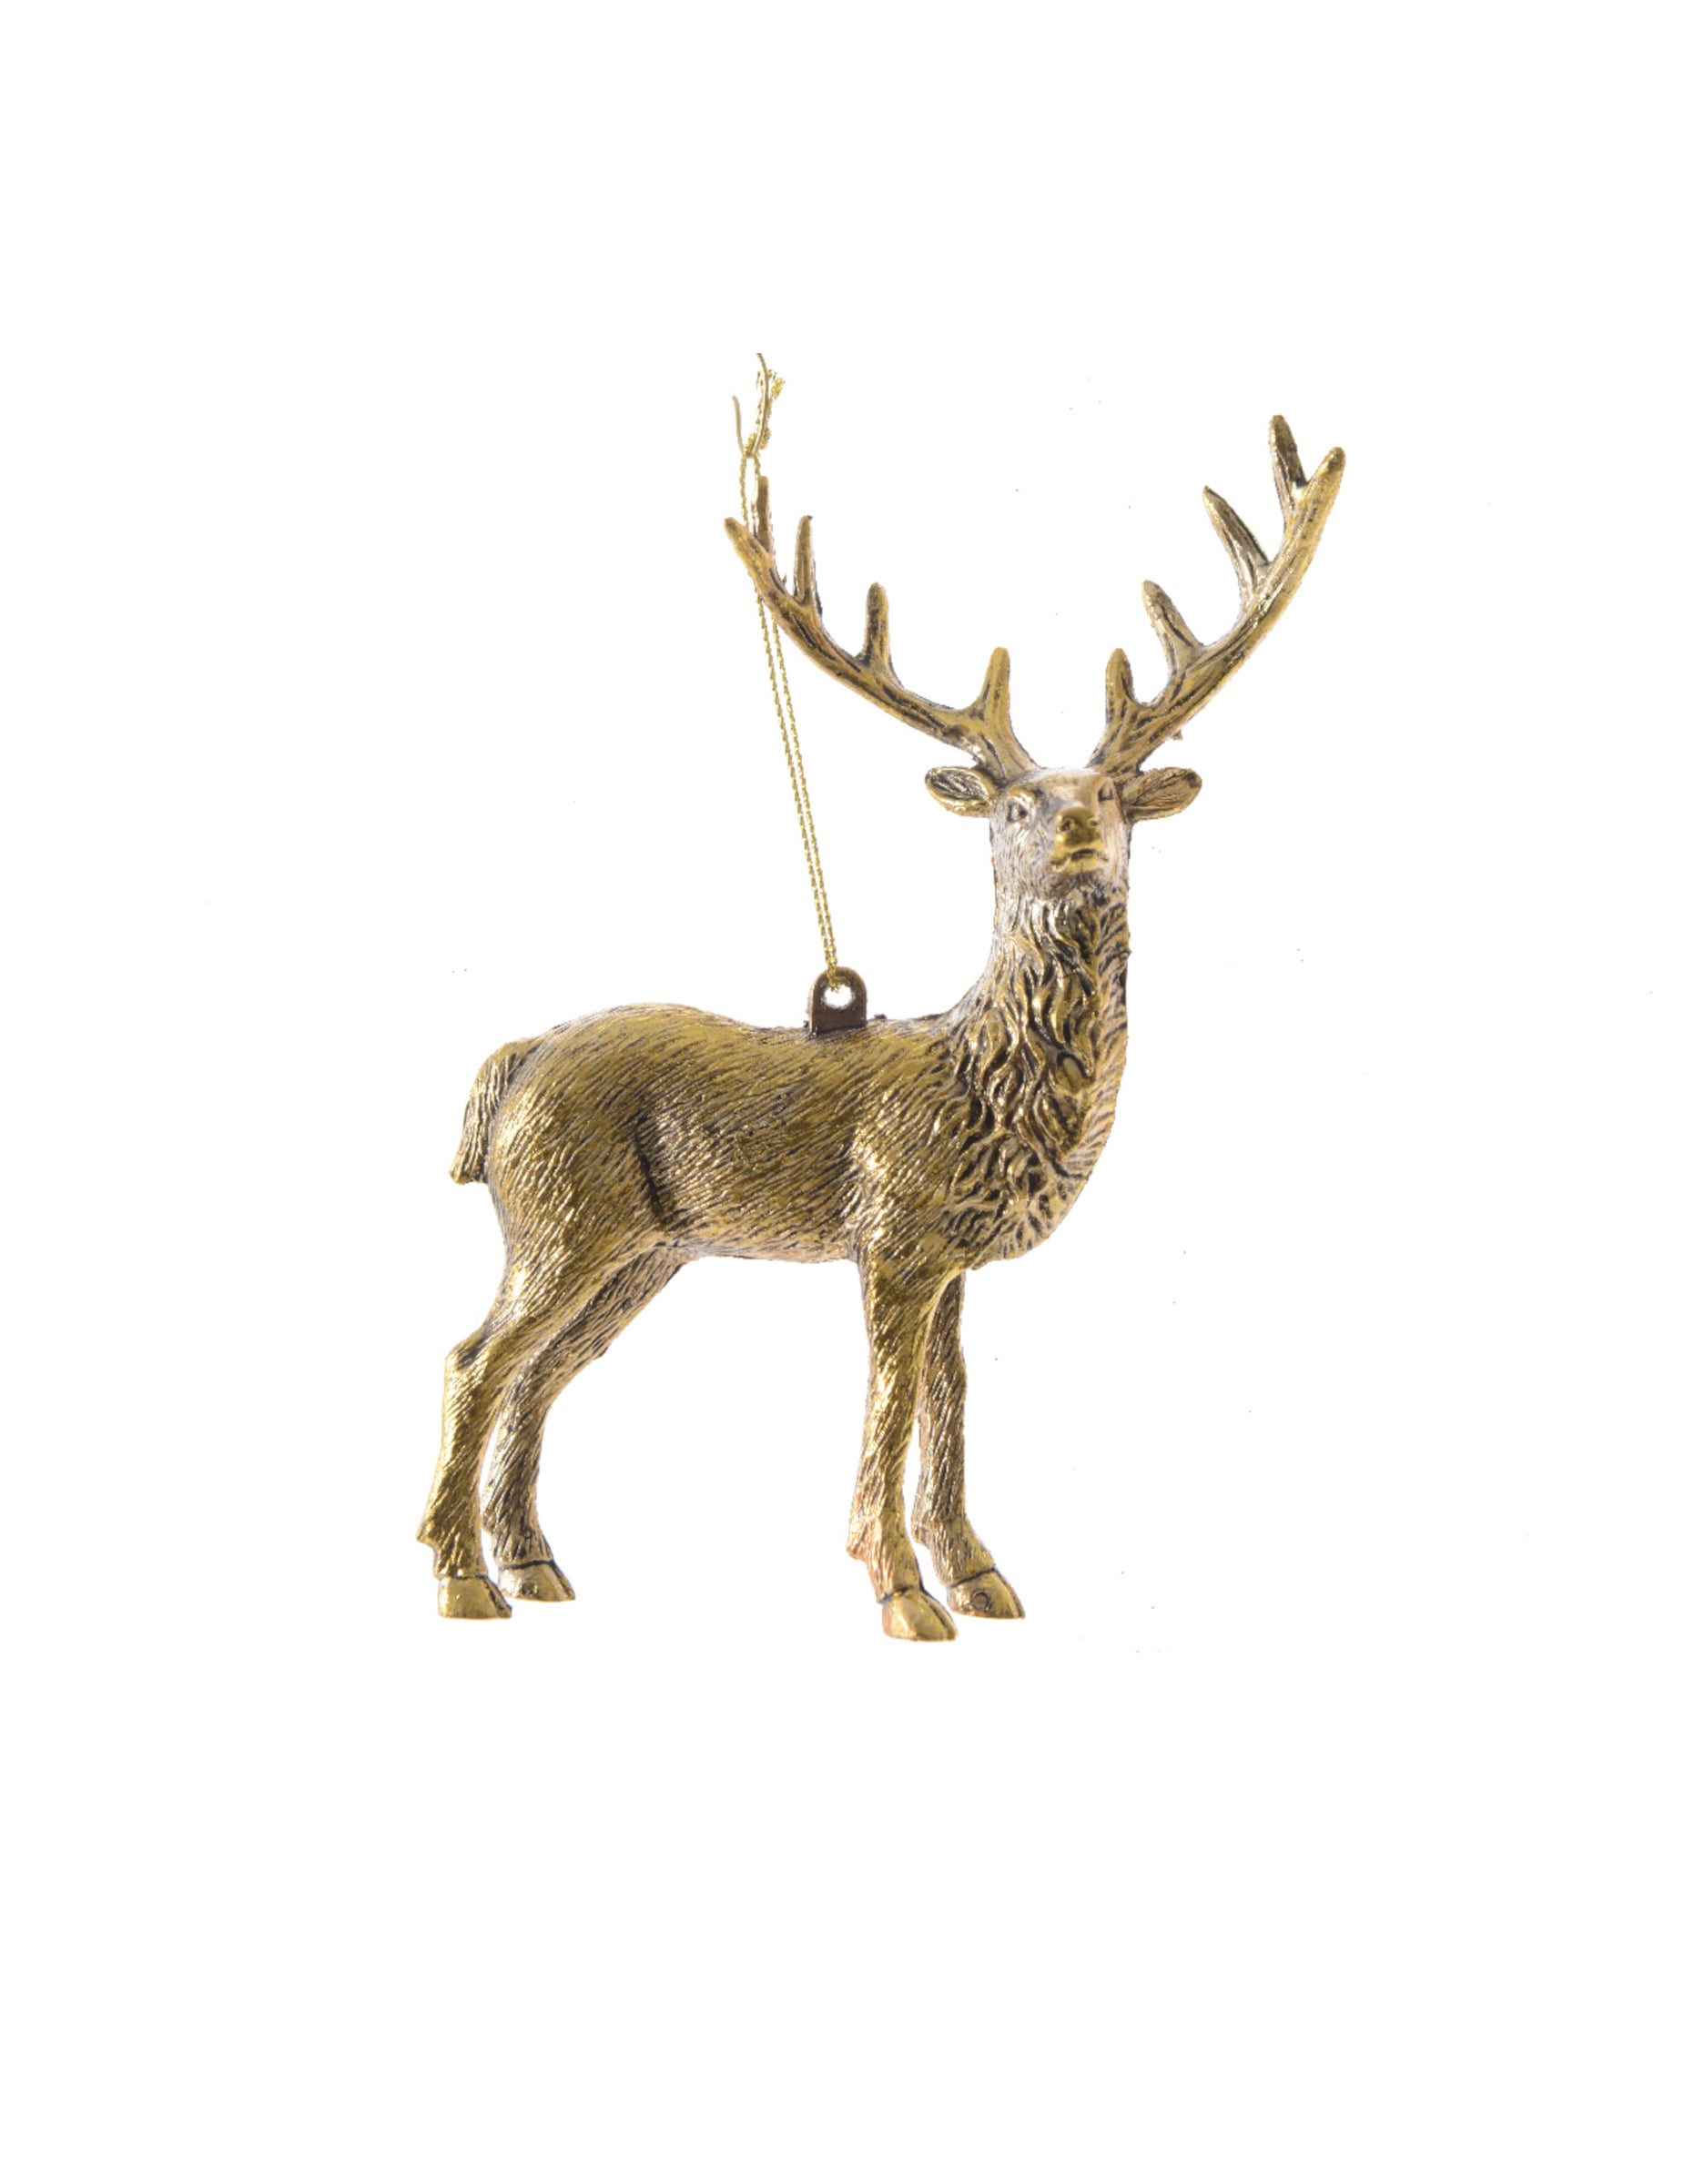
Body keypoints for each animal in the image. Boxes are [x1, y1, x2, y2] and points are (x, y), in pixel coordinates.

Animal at [419, 416, 1344, 1639]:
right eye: (1016, 804)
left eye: (1110, 796)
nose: (1076, 838)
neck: (982, 1083)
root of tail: (514, 1058)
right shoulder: (893, 1234)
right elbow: (894, 1400)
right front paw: (902, 1591)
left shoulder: (954, 1257)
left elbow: (953, 1398)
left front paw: (979, 1574)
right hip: (559, 1216)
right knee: (473, 1360)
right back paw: (461, 1579)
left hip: (642, 1249)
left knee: (536, 1373)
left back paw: (533, 1566)